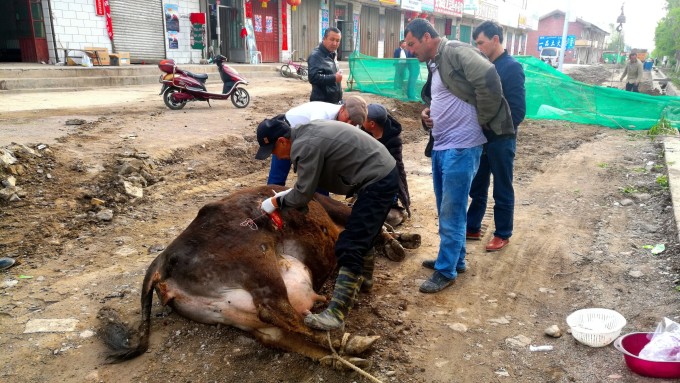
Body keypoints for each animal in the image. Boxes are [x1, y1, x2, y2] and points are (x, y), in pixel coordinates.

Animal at [98, 186, 418, 368]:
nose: (402, 214)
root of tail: (163, 259)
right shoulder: (346, 215)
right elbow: (379, 231)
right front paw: (399, 242)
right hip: (259, 265)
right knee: (279, 313)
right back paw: (349, 342)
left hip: (231, 314)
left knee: (279, 334)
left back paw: (343, 357)